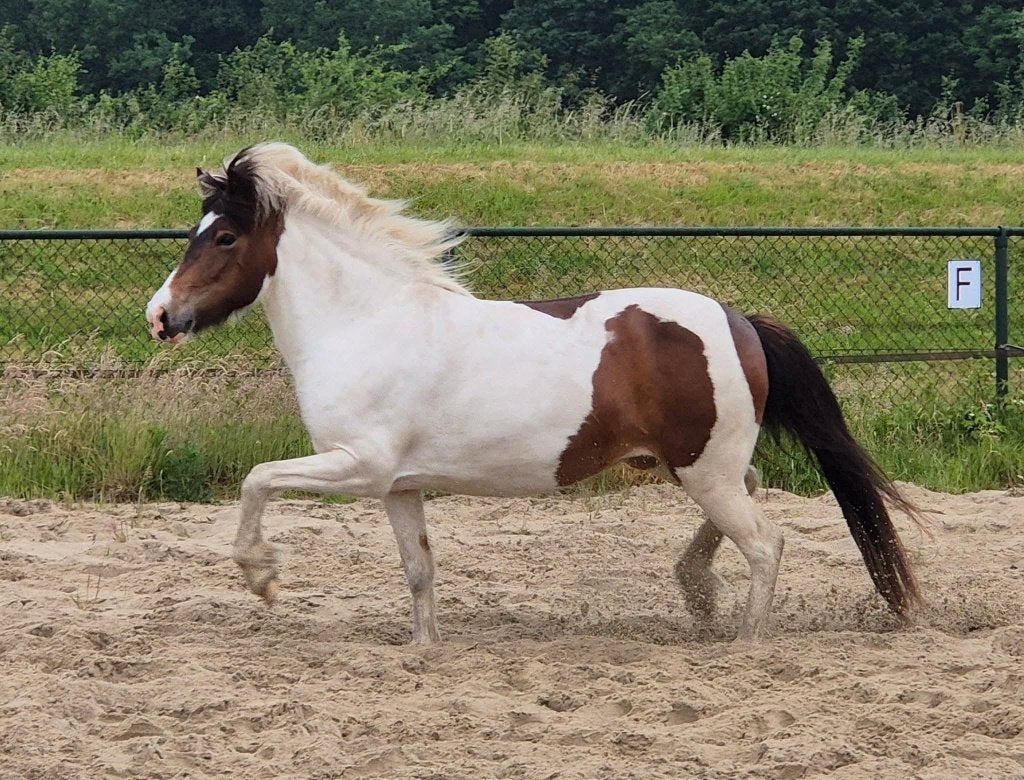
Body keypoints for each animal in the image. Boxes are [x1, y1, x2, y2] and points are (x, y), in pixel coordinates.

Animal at [145, 142, 922, 643]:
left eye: (225, 237)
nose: (160, 316)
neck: (365, 321)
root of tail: (739, 321)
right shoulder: (398, 485)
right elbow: (419, 570)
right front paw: (424, 648)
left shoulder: (357, 465)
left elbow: (256, 479)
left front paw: (262, 578)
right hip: (699, 465)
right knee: (755, 492)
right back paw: (696, 590)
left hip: (705, 470)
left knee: (766, 543)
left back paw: (744, 641)